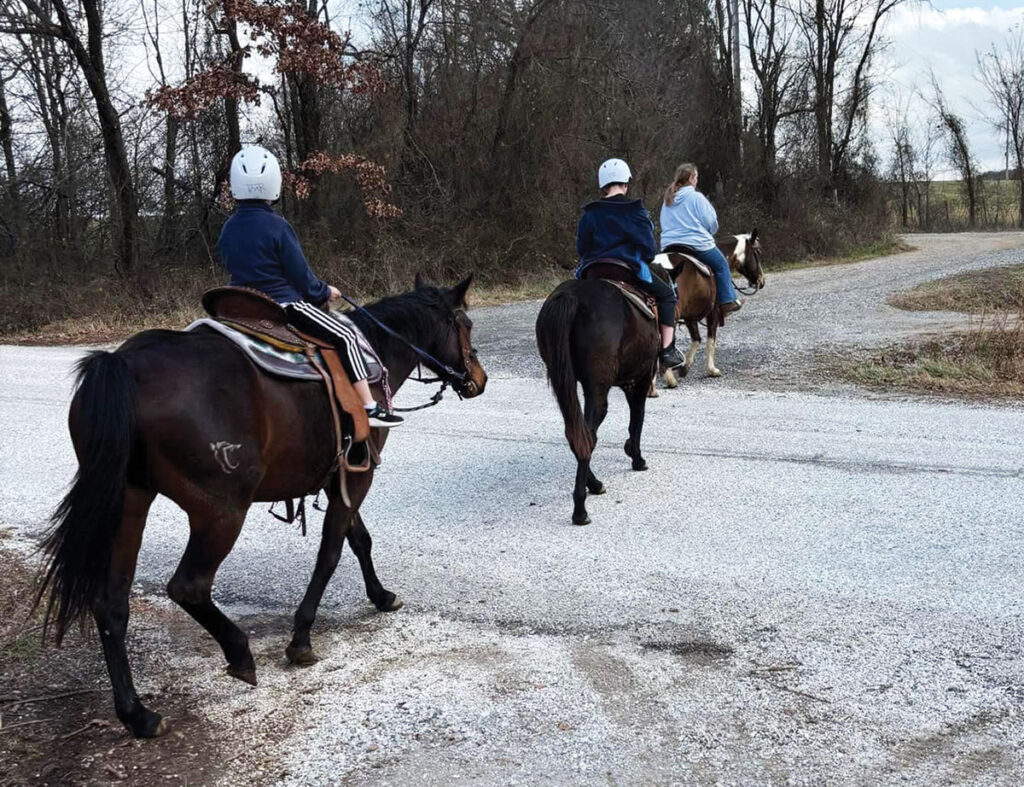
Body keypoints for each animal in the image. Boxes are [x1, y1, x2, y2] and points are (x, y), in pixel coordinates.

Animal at [37, 274, 485, 736]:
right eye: (466, 325)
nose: (478, 378)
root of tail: (125, 364)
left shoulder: (339, 478)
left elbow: (359, 539)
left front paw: (380, 596)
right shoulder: (359, 474)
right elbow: (331, 554)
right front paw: (301, 639)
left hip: (129, 504)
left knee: (110, 604)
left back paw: (137, 713)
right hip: (220, 512)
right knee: (188, 586)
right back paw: (238, 653)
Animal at [536, 274, 655, 523]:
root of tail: (571, 295)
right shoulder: (641, 379)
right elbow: (637, 420)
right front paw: (637, 458)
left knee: (577, 434)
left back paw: (592, 485)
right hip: (598, 390)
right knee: (588, 436)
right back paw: (581, 508)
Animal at [651, 230, 765, 384]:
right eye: (757, 252)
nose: (761, 280)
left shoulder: (690, 316)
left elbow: (696, 339)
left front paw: (685, 367)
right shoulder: (713, 312)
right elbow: (711, 340)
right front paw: (712, 370)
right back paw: (669, 379)